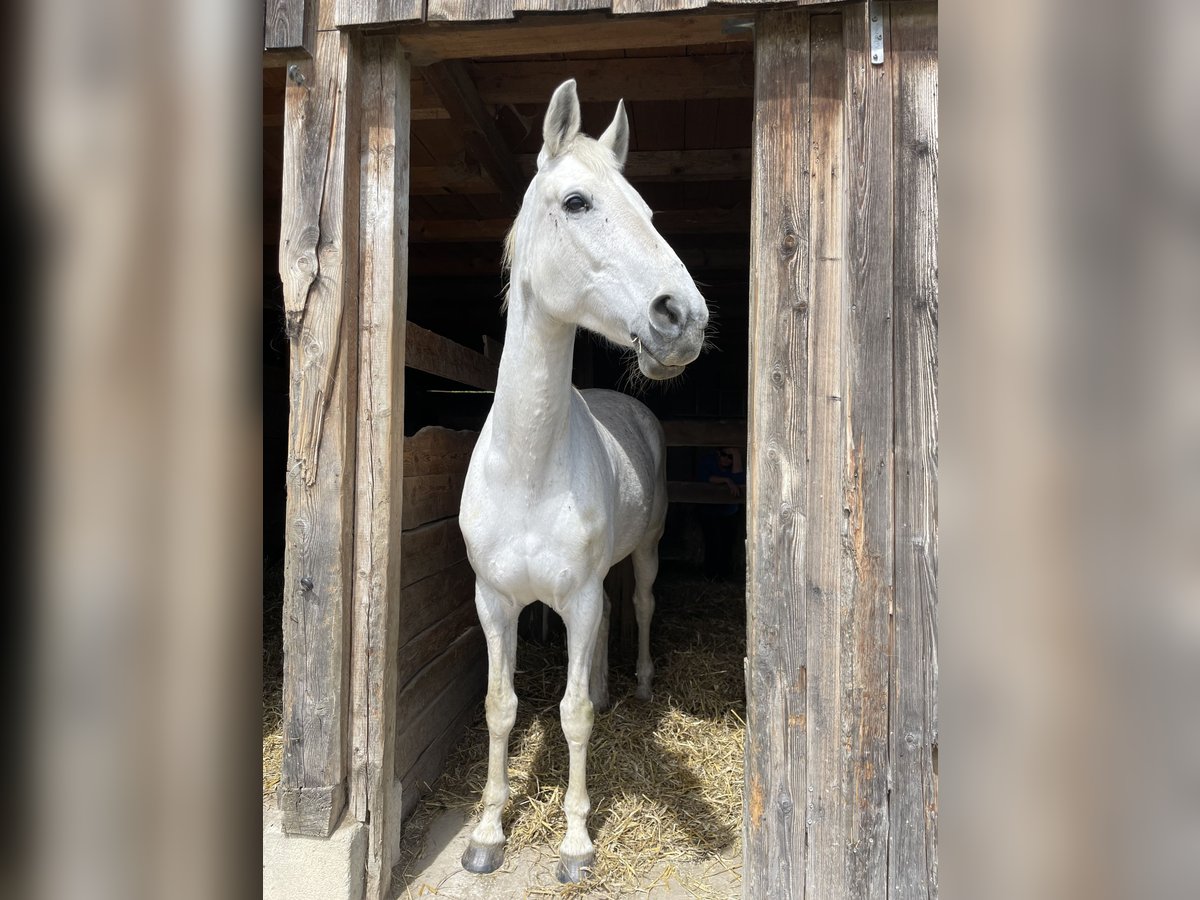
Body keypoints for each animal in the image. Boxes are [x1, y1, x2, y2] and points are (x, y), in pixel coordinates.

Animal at [457, 79, 710, 884]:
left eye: (650, 213)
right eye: (576, 202)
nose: (683, 318)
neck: (529, 471)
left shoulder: (580, 596)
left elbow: (572, 715)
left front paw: (575, 844)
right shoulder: (496, 602)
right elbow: (501, 706)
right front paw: (487, 833)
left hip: (642, 557)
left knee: (641, 606)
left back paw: (641, 685)